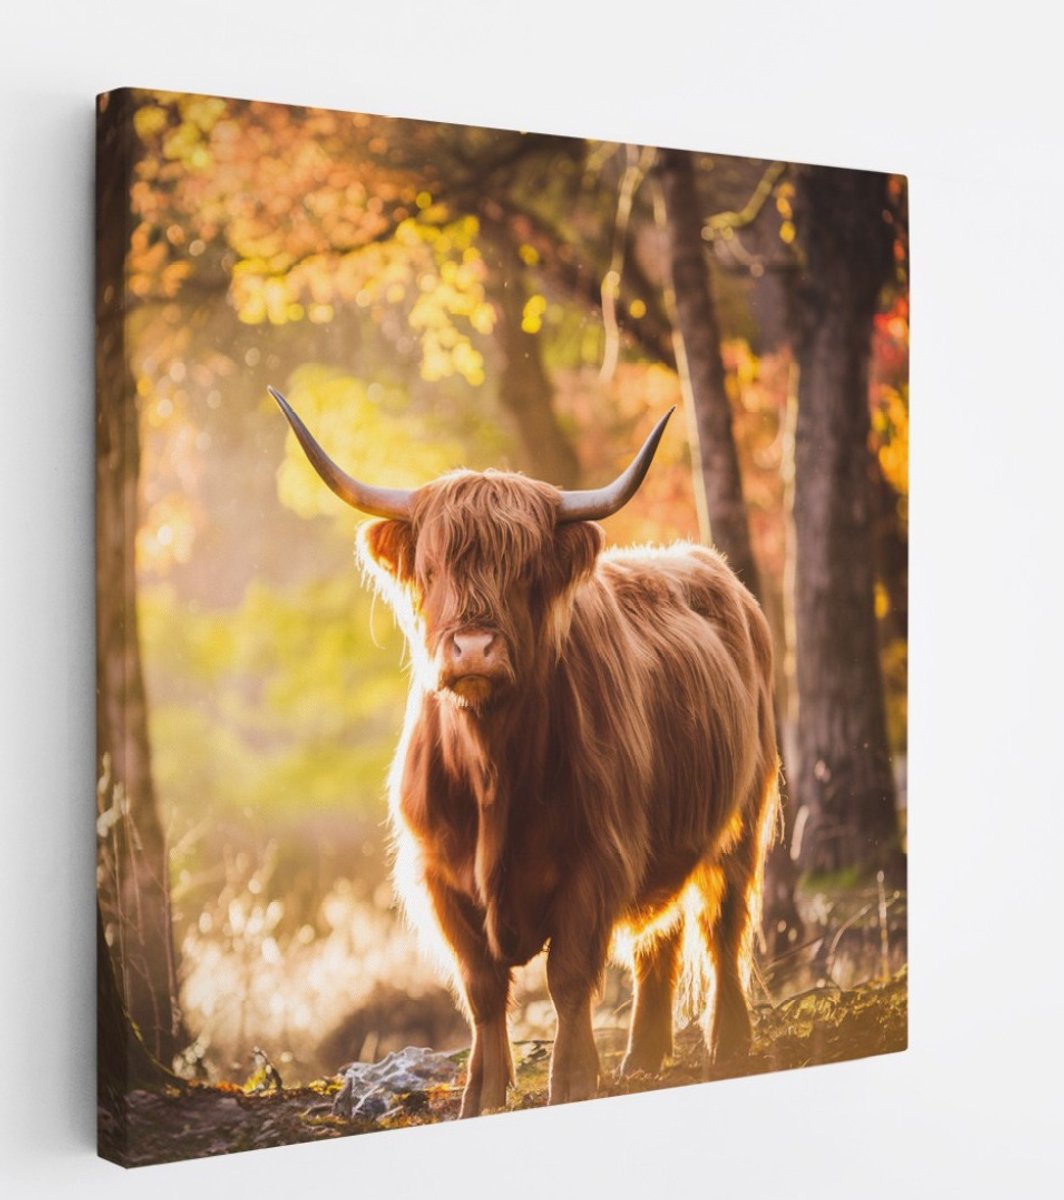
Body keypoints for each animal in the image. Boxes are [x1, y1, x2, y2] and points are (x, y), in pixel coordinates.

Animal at [270, 386, 779, 1116]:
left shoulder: (595, 862)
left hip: (743, 817)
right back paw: (642, 1057)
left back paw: (727, 1045)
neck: (491, 770)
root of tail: (709, 569)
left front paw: (571, 1081)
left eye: (526, 571)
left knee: (722, 923)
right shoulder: (439, 876)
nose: (473, 649)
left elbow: (568, 978)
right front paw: (481, 1093)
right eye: (432, 567)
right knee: (659, 940)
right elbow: (481, 987)